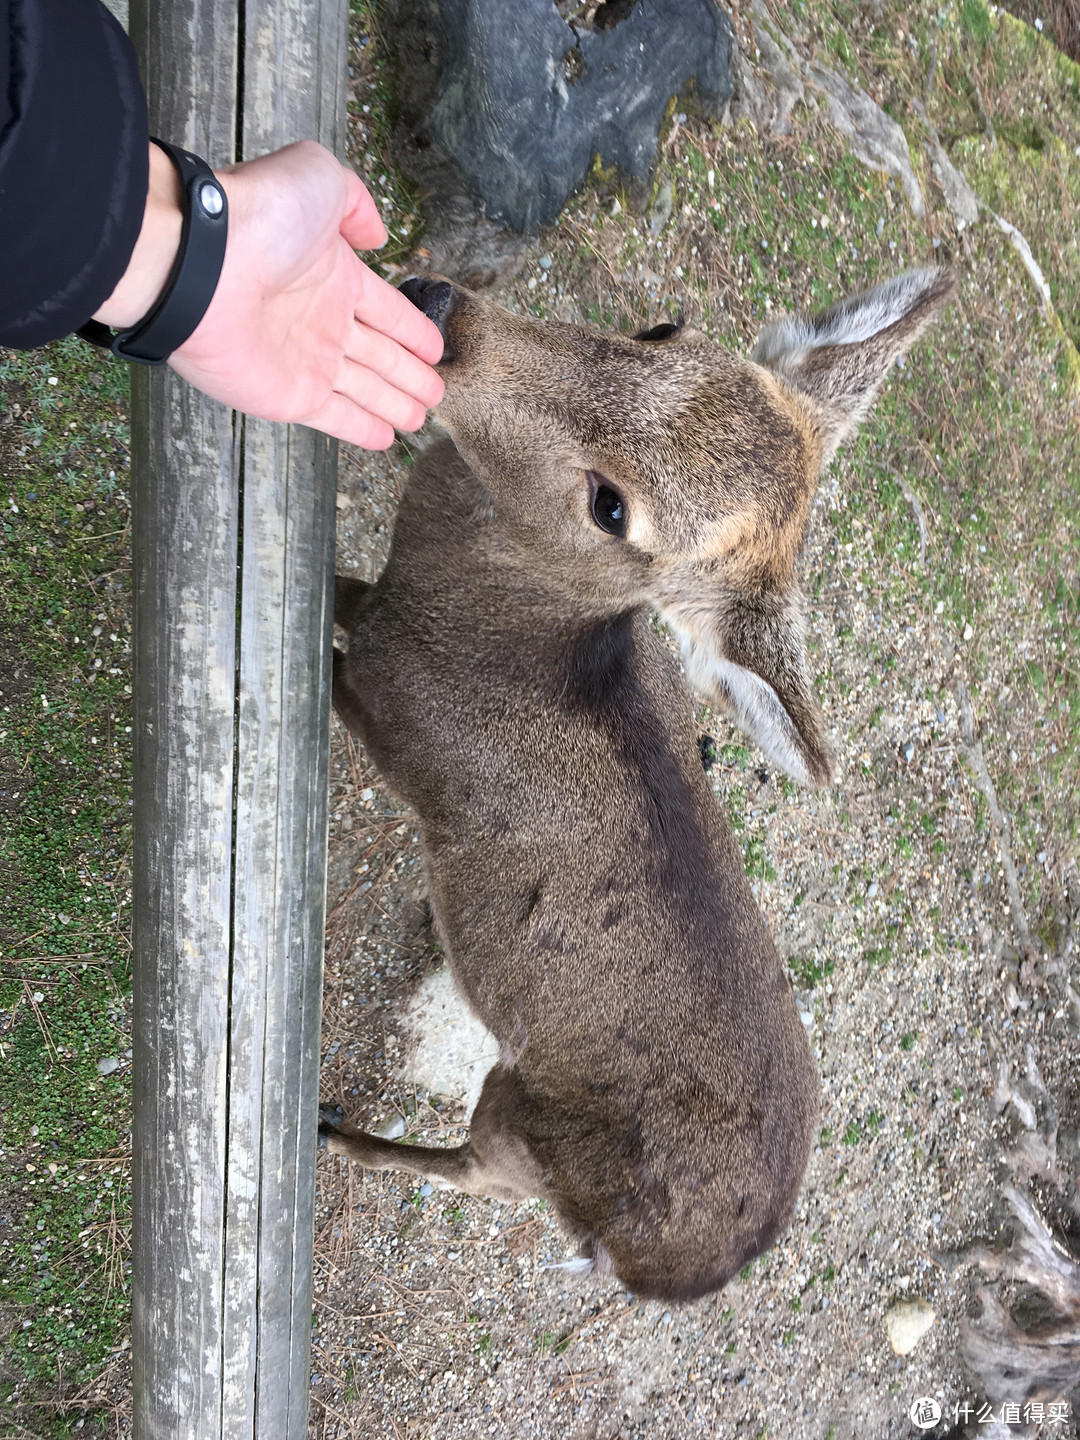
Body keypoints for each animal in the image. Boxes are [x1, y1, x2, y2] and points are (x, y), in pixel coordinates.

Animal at [321, 264, 956, 1301]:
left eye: (610, 507)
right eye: (662, 329)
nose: (440, 308)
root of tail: (676, 1270)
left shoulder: (390, 725)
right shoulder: (371, 612)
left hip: (528, 1128)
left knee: (473, 1172)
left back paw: (334, 1129)